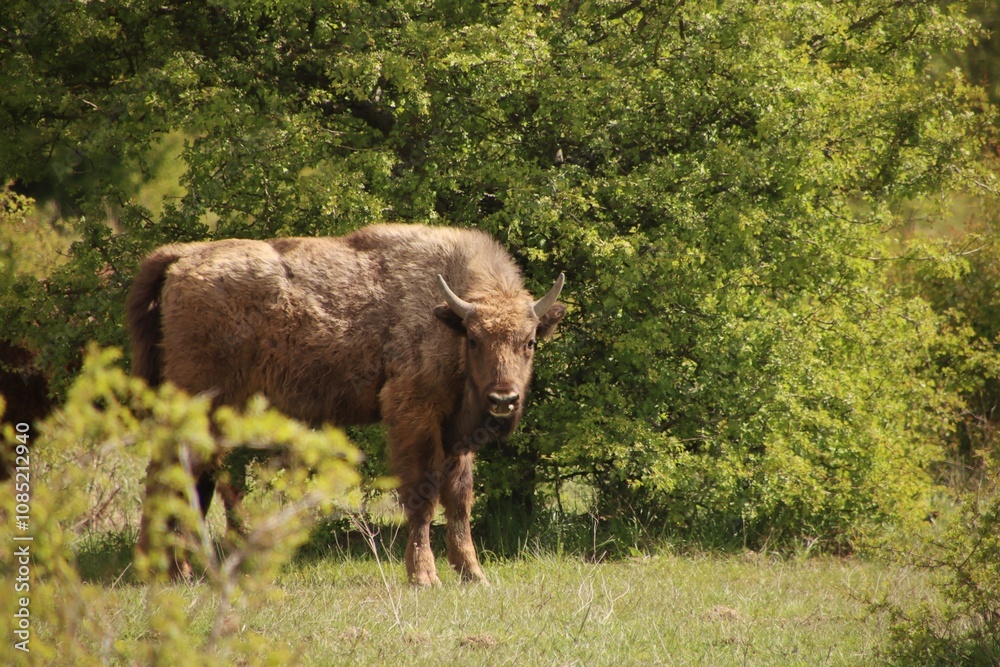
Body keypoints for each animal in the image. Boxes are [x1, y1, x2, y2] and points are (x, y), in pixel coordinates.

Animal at [128, 223, 566, 585]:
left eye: (529, 342)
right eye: (474, 340)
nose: (503, 399)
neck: (445, 317)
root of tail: (184, 257)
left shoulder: (457, 431)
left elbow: (459, 500)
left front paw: (473, 575)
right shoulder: (414, 414)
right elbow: (423, 496)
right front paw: (424, 576)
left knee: (190, 478)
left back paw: (181, 570)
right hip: (199, 402)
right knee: (168, 472)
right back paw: (160, 570)